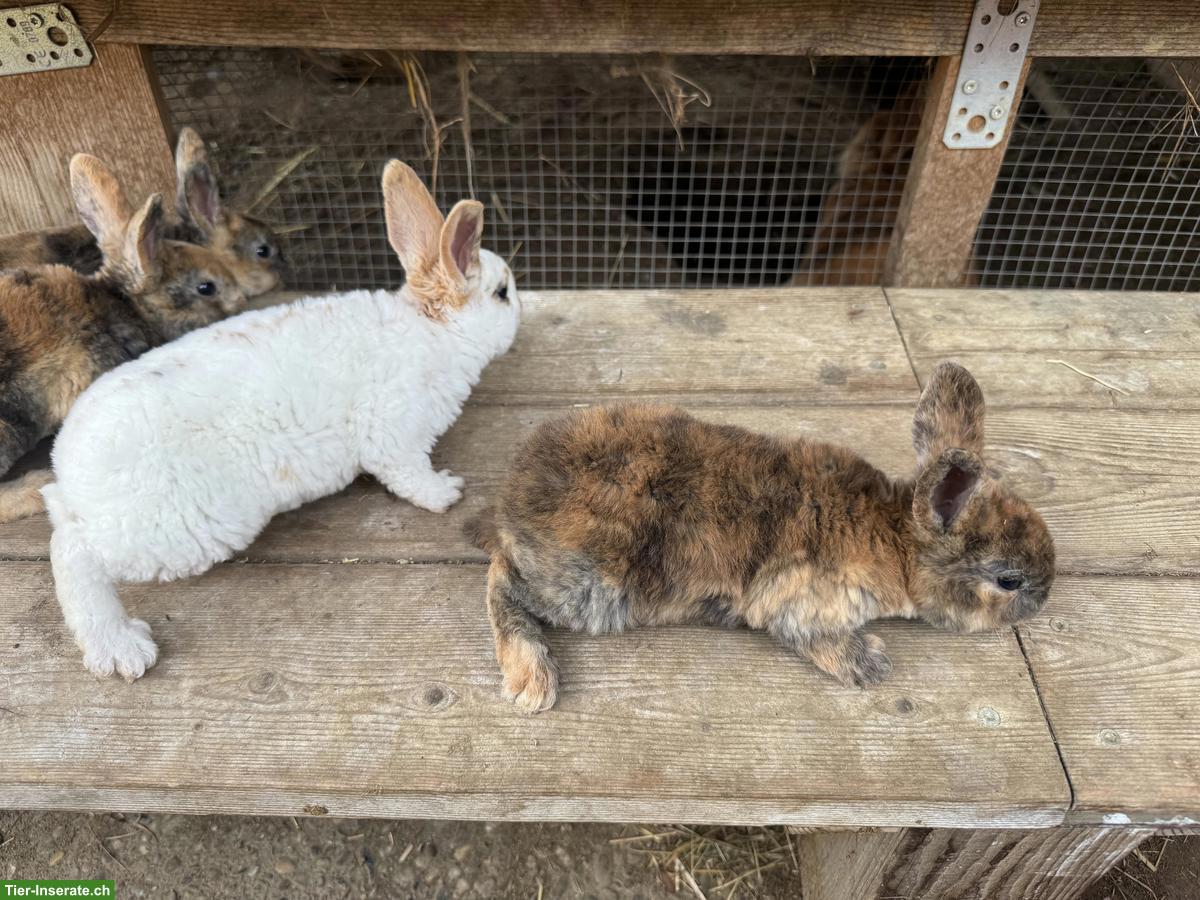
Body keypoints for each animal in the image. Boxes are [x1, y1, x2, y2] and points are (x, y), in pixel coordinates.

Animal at [42, 159, 520, 680]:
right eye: (501, 293)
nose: (520, 311)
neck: (434, 332)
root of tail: (69, 469)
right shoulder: (395, 436)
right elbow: (411, 478)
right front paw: (447, 492)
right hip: (176, 531)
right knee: (73, 553)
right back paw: (120, 648)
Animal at [469, 362, 1055, 713]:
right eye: (1009, 580)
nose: (1046, 596)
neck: (896, 542)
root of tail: (513, 492)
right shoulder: (796, 602)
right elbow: (819, 641)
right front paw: (872, 663)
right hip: (590, 586)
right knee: (501, 579)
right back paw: (532, 682)